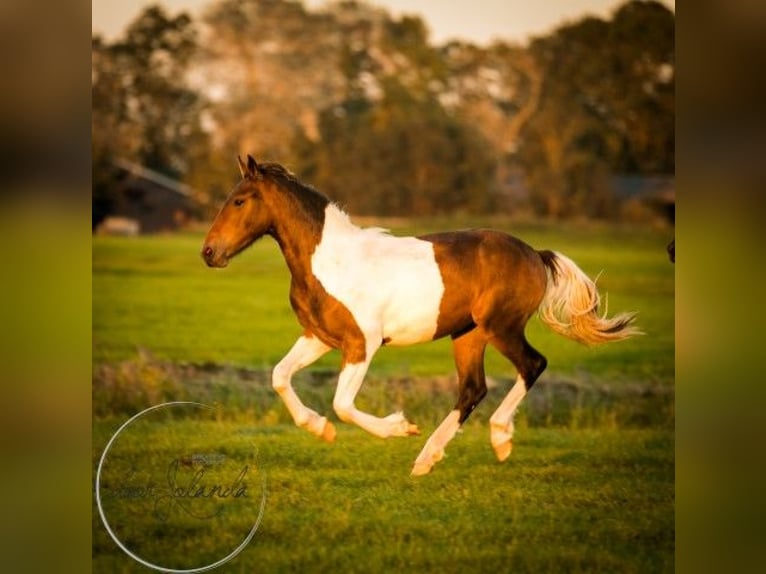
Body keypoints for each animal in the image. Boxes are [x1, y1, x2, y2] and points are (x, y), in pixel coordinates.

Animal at [201, 156, 640, 476]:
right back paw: (426, 459)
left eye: (239, 200)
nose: (208, 253)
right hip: (468, 335)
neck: (328, 261)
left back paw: (499, 440)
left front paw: (399, 427)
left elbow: (342, 403)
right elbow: (280, 376)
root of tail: (535, 253)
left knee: (532, 365)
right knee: (472, 389)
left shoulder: (363, 343)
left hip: (502, 327)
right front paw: (320, 429)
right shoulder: (319, 337)